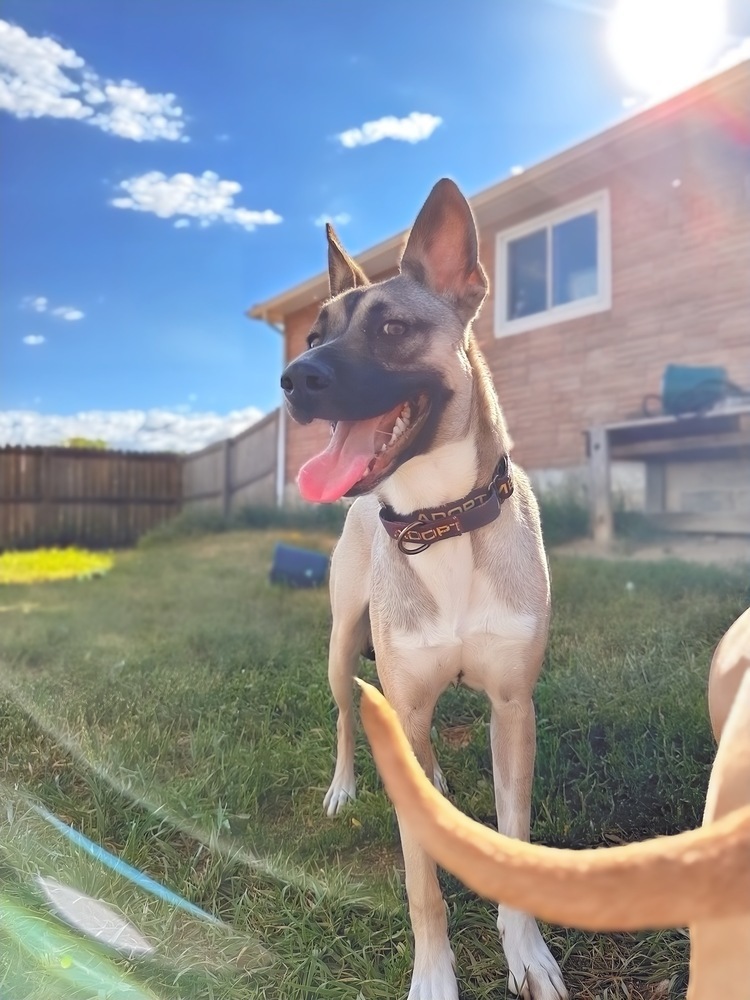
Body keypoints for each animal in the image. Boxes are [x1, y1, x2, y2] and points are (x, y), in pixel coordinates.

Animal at [284, 180, 568, 1000]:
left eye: (393, 328)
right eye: (311, 333)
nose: (296, 378)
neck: (441, 520)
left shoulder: (513, 707)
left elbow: (511, 837)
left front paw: (526, 952)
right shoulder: (400, 691)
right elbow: (421, 883)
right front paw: (435, 975)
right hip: (342, 647)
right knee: (348, 716)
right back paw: (346, 786)